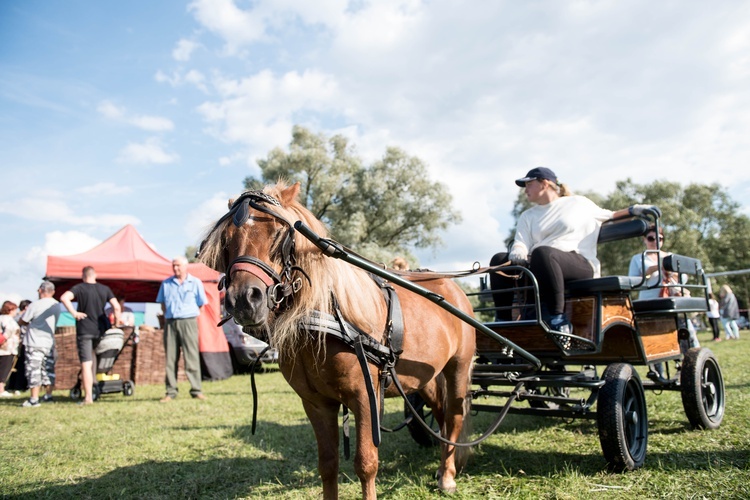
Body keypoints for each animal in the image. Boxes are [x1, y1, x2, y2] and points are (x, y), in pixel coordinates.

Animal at [200, 182, 476, 498]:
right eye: (226, 240)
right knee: (441, 416)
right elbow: (328, 463)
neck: (324, 320)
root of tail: (452, 288)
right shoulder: (316, 404)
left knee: (454, 416)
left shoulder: (366, 398)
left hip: (457, 368)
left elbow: (366, 464)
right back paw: (443, 467)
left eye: (279, 233)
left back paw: (448, 476)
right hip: (425, 379)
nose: (244, 300)